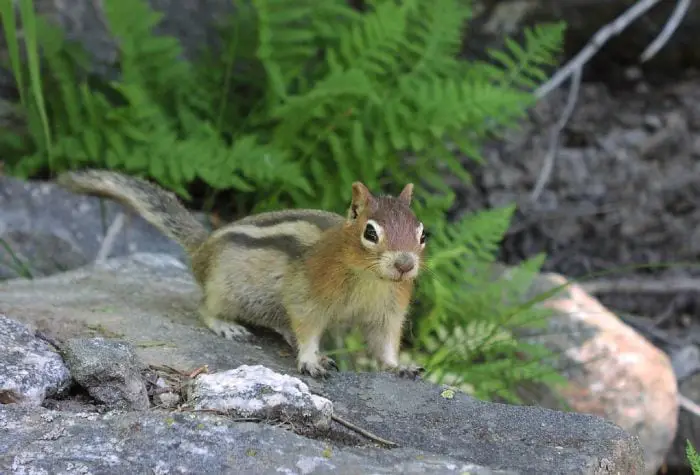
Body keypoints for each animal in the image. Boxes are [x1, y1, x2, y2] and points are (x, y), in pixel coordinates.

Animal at [57, 170, 426, 380]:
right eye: (370, 233)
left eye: (423, 234)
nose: (405, 264)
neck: (370, 280)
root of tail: (203, 248)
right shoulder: (307, 295)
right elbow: (307, 327)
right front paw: (310, 359)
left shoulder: (388, 311)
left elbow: (384, 342)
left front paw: (399, 365)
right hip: (225, 289)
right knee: (204, 307)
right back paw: (228, 326)